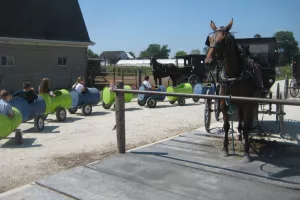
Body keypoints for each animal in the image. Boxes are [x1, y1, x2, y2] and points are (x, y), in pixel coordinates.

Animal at [204, 18, 260, 162]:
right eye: (210, 40)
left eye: (224, 40)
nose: (208, 62)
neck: (234, 74)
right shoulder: (224, 102)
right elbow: (226, 125)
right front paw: (225, 149)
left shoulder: (247, 103)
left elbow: (246, 126)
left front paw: (246, 153)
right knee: (239, 116)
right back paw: (239, 134)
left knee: (246, 119)